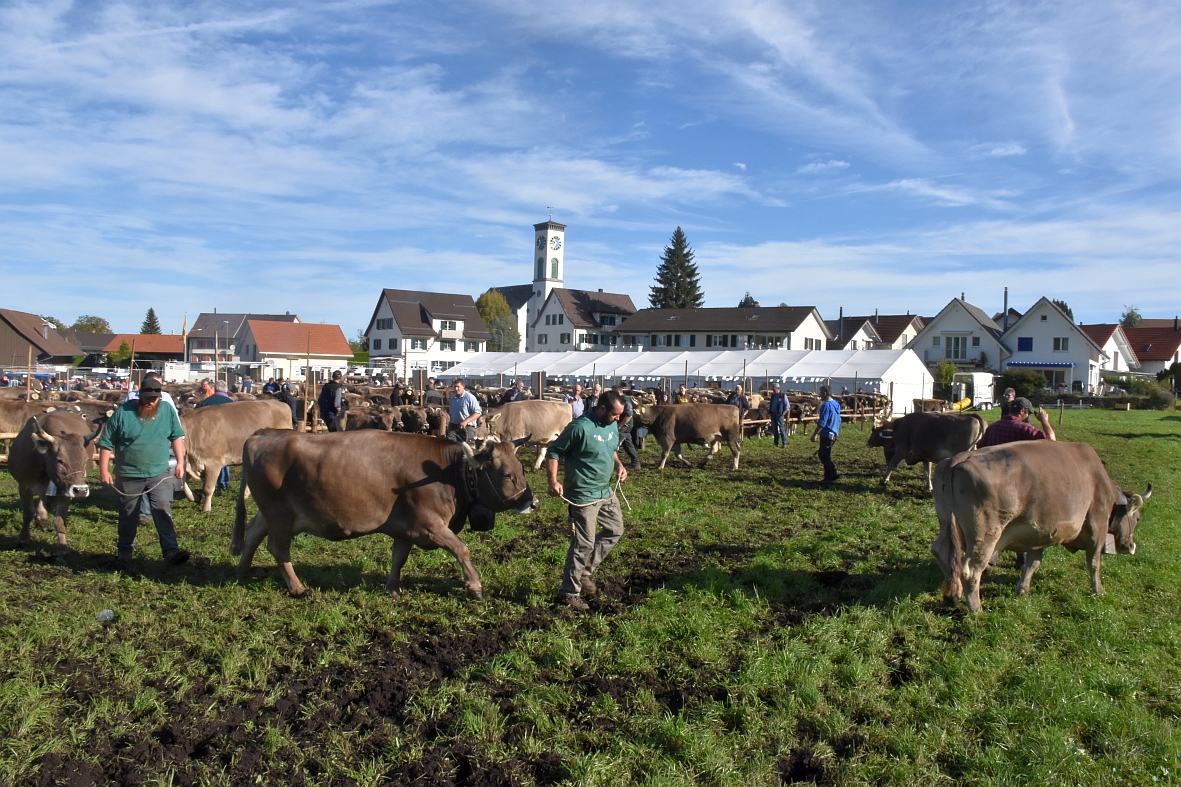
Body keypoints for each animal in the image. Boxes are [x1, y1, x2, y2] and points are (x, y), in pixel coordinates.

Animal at [7, 411, 103, 550]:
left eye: (85, 460)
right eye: (60, 460)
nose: (81, 490)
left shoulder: (67, 490)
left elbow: (60, 521)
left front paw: (62, 547)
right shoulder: (24, 487)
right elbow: (27, 514)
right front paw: (23, 539)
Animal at [232, 430, 538, 595]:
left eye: (521, 468)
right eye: (507, 475)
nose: (532, 502)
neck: (449, 473)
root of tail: (263, 434)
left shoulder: (406, 527)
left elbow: (398, 558)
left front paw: (392, 587)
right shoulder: (430, 525)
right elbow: (461, 549)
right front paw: (474, 585)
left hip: (274, 514)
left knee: (253, 532)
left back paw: (243, 571)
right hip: (280, 514)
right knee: (277, 548)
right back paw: (296, 587)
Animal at [925, 441, 1147, 614]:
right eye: (1137, 518)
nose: (1132, 546)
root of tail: (957, 460)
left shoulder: (1038, 535)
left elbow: (1033, 563)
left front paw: (1022, 589)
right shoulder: (1096, 527)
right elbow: (1094, 562)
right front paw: (1098, 590)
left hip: (947, 525)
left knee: (942, 553)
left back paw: (953, 595)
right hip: (985, 536)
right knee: (971, 570)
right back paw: (977, 610)